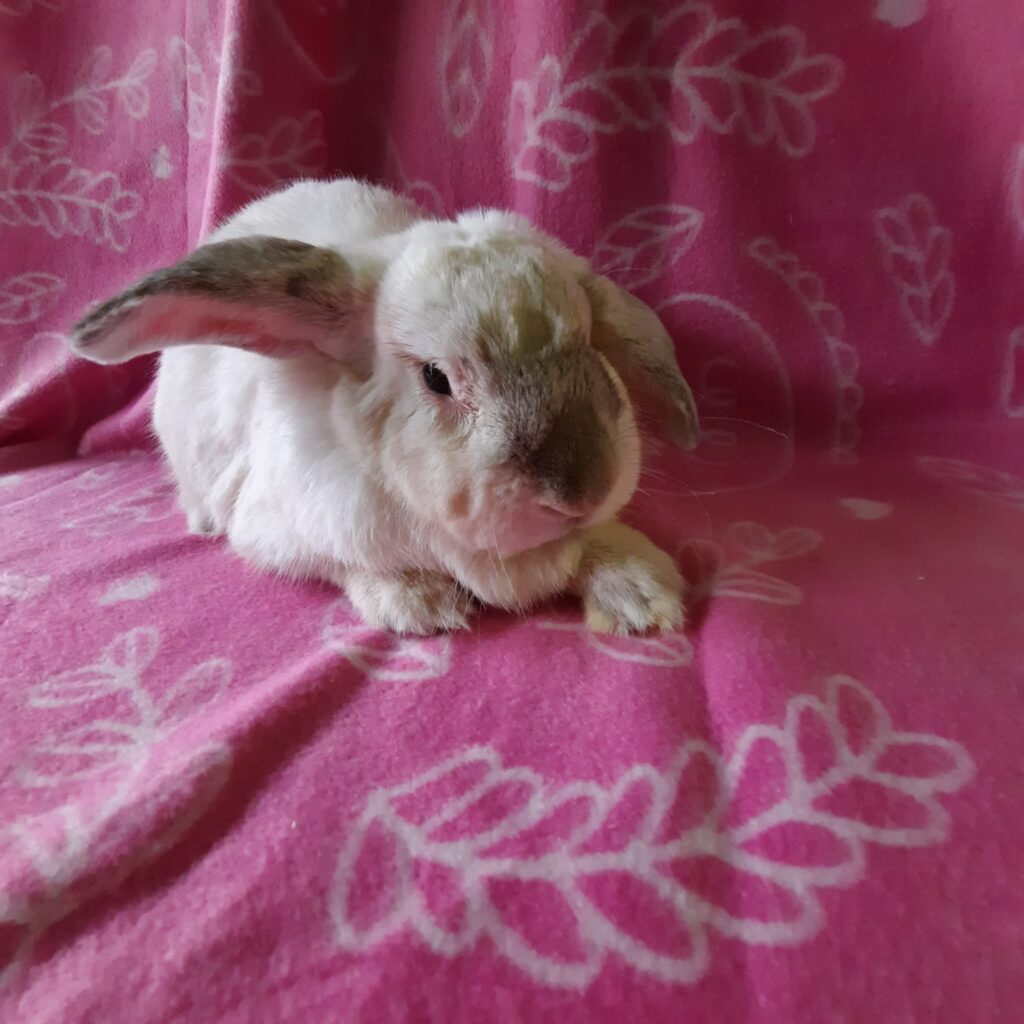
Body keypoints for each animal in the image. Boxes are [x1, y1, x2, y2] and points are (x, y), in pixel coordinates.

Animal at [69, 178, 699, 636]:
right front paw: (421, 603)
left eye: (591, 343)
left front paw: (643, 592)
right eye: (436, 378)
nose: (581, 491)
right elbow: (349, 564)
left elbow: (596, 546)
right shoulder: (281, 530)